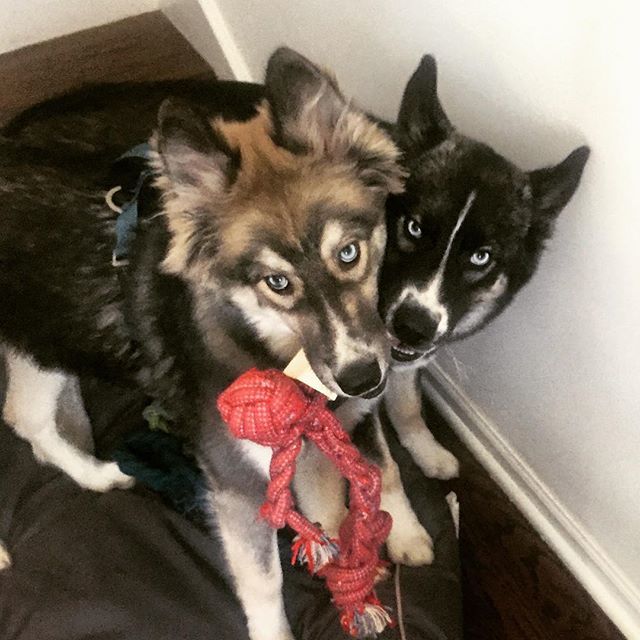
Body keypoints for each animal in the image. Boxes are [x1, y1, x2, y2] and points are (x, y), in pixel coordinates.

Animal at [0, 48, 405, 639]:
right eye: (277, 283)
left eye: (349, 253)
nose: (362, 379)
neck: (267, 345)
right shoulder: (236, 485)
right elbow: (264, 585)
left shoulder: (311, 451)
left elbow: (329, 524)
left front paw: (348, 588)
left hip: (48, 343)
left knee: (24, 416)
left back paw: (96, 476)